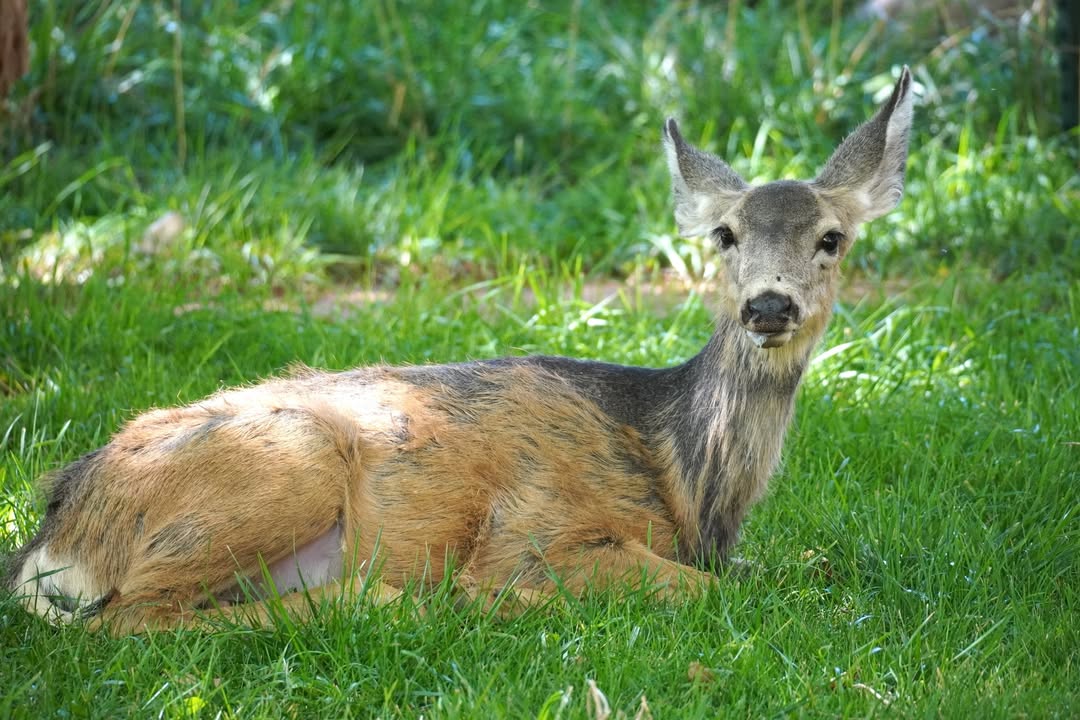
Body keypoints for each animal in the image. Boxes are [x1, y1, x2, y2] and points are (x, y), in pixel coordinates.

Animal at [5, 68, 914, 634]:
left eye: (832, 238)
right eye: (725, 234)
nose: (768, 304)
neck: (681, 473)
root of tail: (57, 526)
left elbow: (811, 569)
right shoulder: (537, 527)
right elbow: (696, 593)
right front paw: (500, 600)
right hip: (283, 462)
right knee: (131, 618)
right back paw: (400, 603)